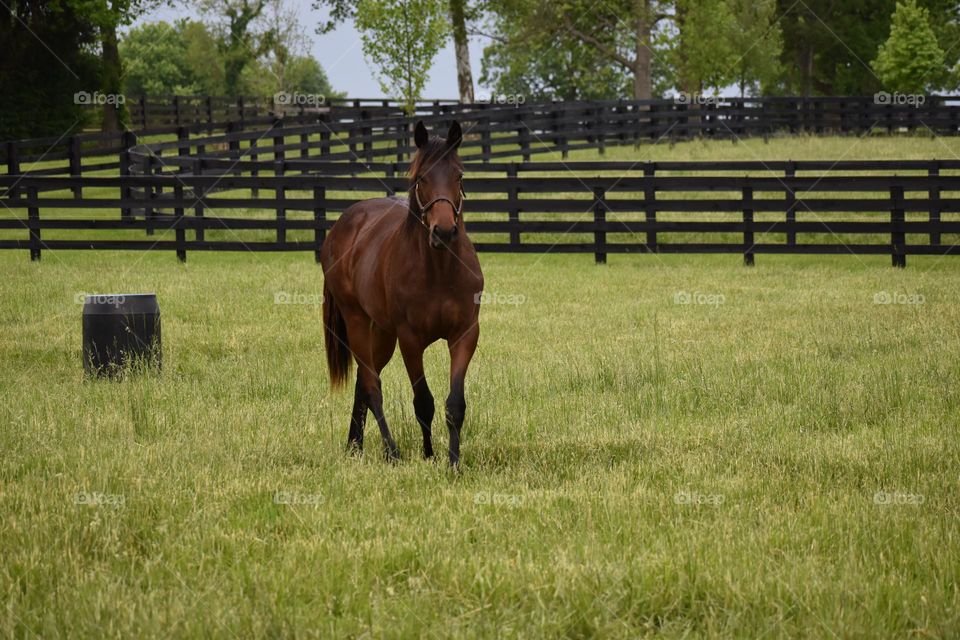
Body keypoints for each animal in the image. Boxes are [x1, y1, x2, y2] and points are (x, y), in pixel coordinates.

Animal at [320, 120, 484, 466]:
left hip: (382, 333)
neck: (439, 272)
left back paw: (354, 445)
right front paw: (428, 455)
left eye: (459, 176)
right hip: (357, 322)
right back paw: (391, 451)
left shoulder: (465, 334)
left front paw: (454, 461)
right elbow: (423, 401)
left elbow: (455, 404)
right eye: (421, 178)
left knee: (363, 382)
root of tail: (344, 223)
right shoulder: (410, 340)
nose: (444, 232)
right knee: (371, 386)